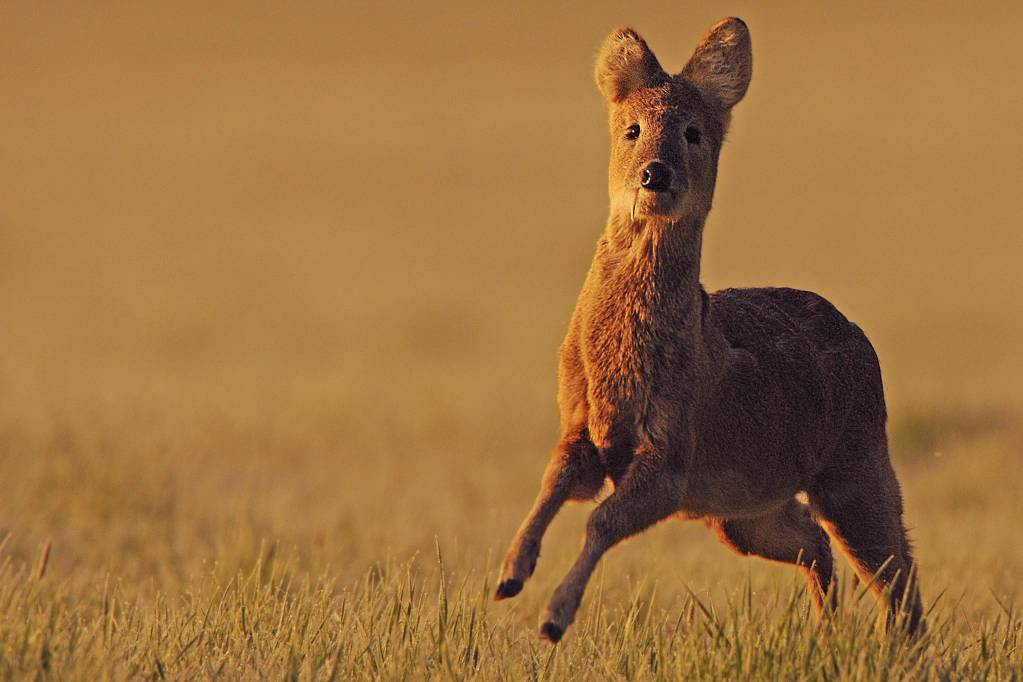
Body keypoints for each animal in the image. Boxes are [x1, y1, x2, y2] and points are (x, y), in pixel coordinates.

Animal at [491, 17, 924, 646]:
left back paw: (896, 648)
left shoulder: (673, 453)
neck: (620, 361)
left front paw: (554, 616)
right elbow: (551, 487)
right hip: (743, 508)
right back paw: (826, 633)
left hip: (856, 462)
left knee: (897, 571)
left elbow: (601, 522)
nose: (655, 172)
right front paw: (510, 573)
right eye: (632, 129)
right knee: (817, 544)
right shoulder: (582, 424)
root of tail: (861, 336)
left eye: (693, 133)